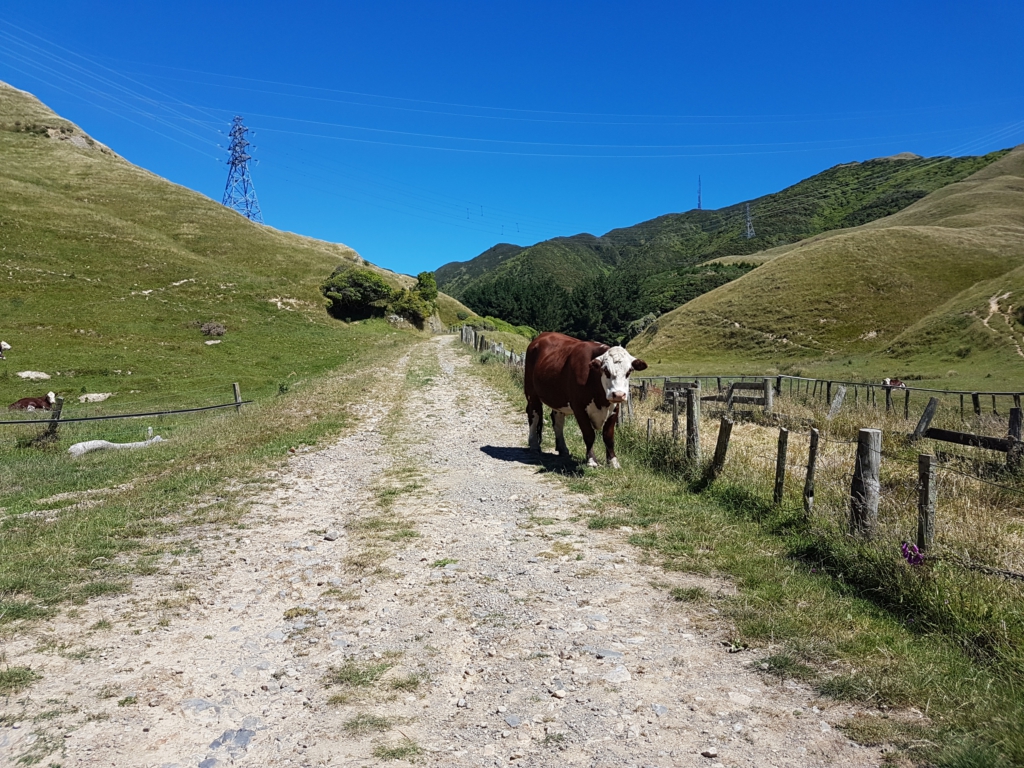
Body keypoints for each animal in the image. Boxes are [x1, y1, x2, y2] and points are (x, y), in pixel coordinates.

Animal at [528, 331, 647, 468]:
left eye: (629, 371)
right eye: (605, 370)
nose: (618, 394)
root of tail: (543, 335)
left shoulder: (614, 408)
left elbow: (608, 436)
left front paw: (613, 461)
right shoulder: (579, 408)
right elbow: (589, 434)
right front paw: (591, 460)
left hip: (558, 400)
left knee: (557, 422)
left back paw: (563, 448)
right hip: (532, 394)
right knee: (534, 416)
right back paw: (534, 445)